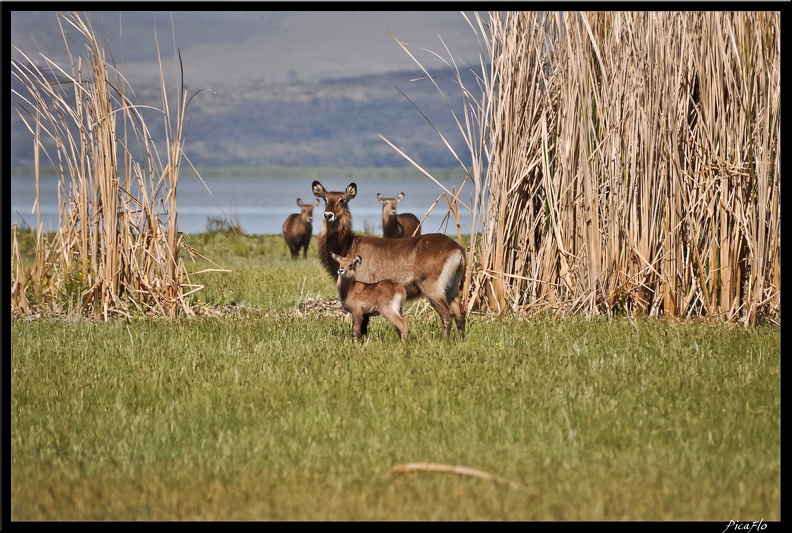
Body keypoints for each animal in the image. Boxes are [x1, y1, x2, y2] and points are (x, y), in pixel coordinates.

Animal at [312, 181, 468, 338]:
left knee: (447, 315)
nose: (328, 215)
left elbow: (362, 325)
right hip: (452, 288)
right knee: (460, 313)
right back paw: (459, 340)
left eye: (342, 200)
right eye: (325, 199)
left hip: (433, 289)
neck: (347, 244)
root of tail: (457, 247)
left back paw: (444, 340)